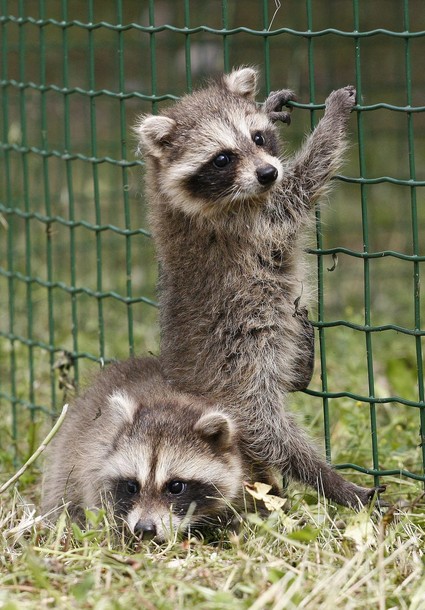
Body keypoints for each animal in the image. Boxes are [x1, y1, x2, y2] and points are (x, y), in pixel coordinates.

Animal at [136, 66, 384, 506]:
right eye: (222, 158)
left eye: (256, 138)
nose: (268, 173)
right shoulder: (248, 222)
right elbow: (303, 183)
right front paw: (331, 120)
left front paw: (270, 108)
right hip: (241, 376)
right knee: (270, 433)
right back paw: (327, 478)